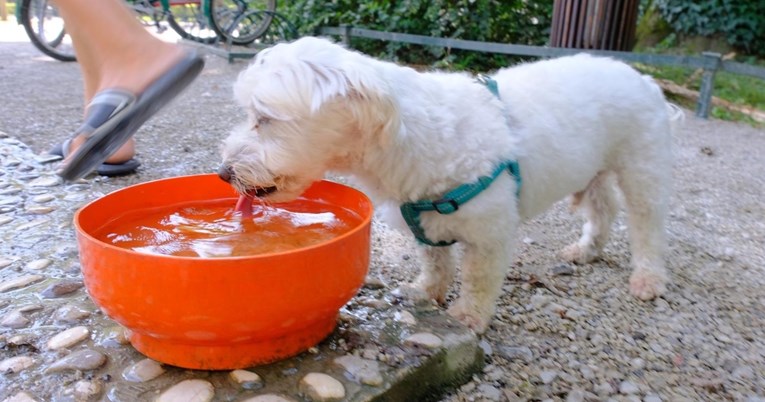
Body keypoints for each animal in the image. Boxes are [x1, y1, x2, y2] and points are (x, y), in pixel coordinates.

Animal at [218, 37, 676, 332]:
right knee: (603, 208)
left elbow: (478, 278)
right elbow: (435, 261)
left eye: (265, 118)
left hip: (641, 168)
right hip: (594, 168)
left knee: (646, 226)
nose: (224, 172)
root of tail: (640, 76)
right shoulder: (421, 215)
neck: (412, 137)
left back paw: (648, 278)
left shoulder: (489, 234)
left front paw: (469, 315)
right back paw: (586, 250)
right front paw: (427, 291)